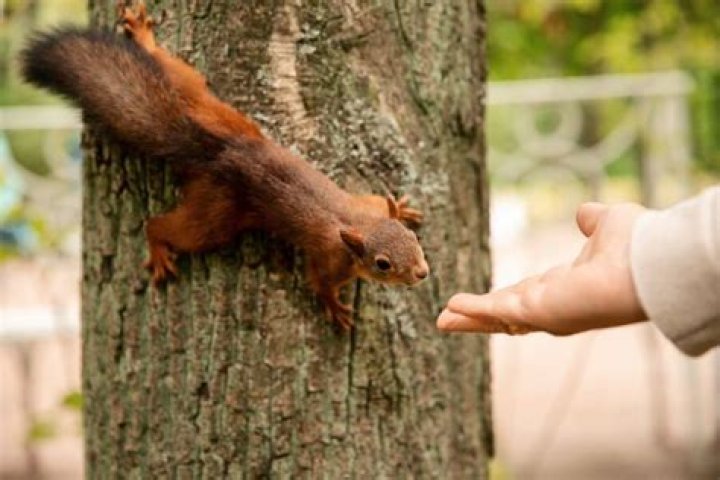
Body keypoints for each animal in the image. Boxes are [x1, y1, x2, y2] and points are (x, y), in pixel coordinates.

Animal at [20, 1, 429, 330]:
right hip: (215, 215)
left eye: (414, 241)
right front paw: (335, 308)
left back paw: (142, 36)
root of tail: (213, 150)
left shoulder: (369, 205)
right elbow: (319, 283)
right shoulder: (329, 260)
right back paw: (158, 249)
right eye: (382, 264)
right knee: (165, 226)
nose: (423, 273)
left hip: (205, 103)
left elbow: (383, 201)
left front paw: (403, 207)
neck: (360, 225)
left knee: (174, 71)